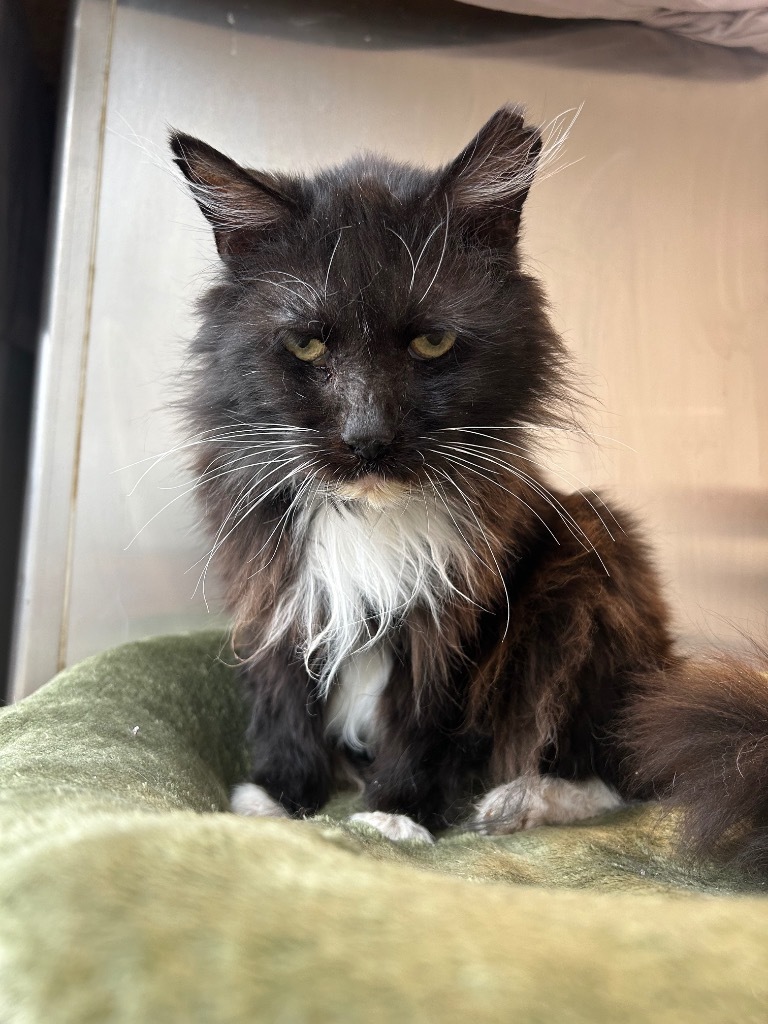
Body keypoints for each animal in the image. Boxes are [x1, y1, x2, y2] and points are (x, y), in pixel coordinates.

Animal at [169, 108, 768, 868]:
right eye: (307, 345)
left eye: (432, 344)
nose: (368, 437)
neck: (370, 517)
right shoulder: (276, 591)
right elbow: (284, 698)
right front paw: (279, 799)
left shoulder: (462, 615)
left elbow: (425, 721)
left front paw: (395, 815)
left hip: (591, 563)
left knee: (620, 767)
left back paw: (514, 804)